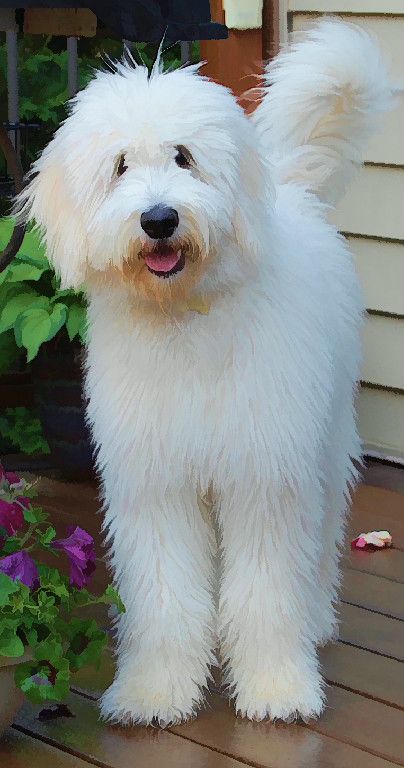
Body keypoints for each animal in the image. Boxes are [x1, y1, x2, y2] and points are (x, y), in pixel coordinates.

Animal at [17, 19, 392, 728]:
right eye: (121, 166)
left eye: (184, 157)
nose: (159, 218)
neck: (187, 321)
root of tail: (288, 187)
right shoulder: (156, 480)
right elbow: (165, 593)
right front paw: (155, 690)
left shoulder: (264, 472)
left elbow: (266, 589)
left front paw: (276, 686)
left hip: (324, 440)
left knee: (321, 536)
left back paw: (315, 618)